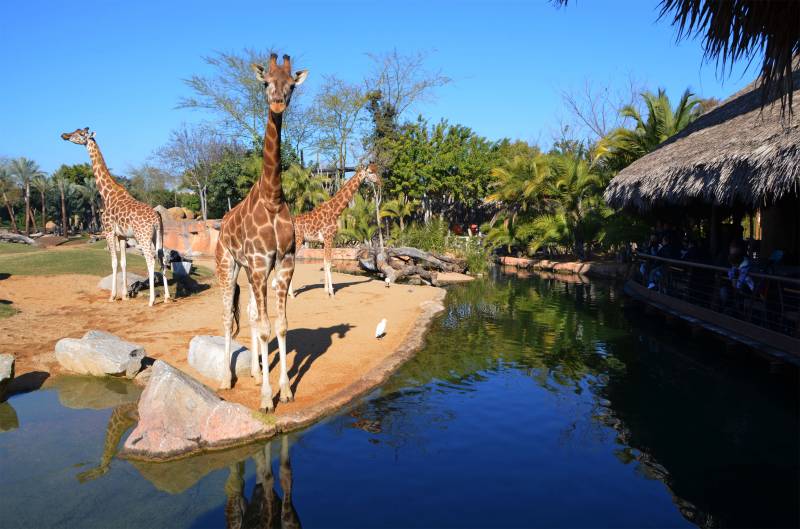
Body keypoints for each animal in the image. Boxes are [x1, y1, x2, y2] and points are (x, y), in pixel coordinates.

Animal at [61, 128, 170, 308]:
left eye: (79, 134)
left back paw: (151, 300)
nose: (64, 135)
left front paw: (112, 296)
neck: (107, 194)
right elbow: (123, 262)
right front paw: (125, 295)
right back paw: (167, 297)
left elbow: (113, 262)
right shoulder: (122, 236)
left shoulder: (108, 231)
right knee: (161, 257)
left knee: (150, 259)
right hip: (158, 236)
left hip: (143, 236)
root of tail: (156, 217)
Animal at [214, 53, 308, 410]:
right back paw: (226, 379)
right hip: (227, 265)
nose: (278, 103)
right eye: (266, 82)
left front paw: (286, 390)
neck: (272, 196)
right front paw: (268, 399)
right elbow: (267, 327)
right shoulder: (257, 264)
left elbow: (280, 326)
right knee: (228, 317)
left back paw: (254, 372)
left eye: (291, 85)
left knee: (253, 314)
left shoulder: (283, 263)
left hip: (250, 270)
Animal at [290, 165, 382, 296]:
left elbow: (325, 262)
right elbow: (329, 264)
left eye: (376, 171)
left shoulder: (325, 241)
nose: (380, 182)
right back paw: (291, 294)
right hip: (298, 240)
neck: (335, 211)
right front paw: (332, 292)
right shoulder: (329, 238)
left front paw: (325, 290)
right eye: (370, 172)